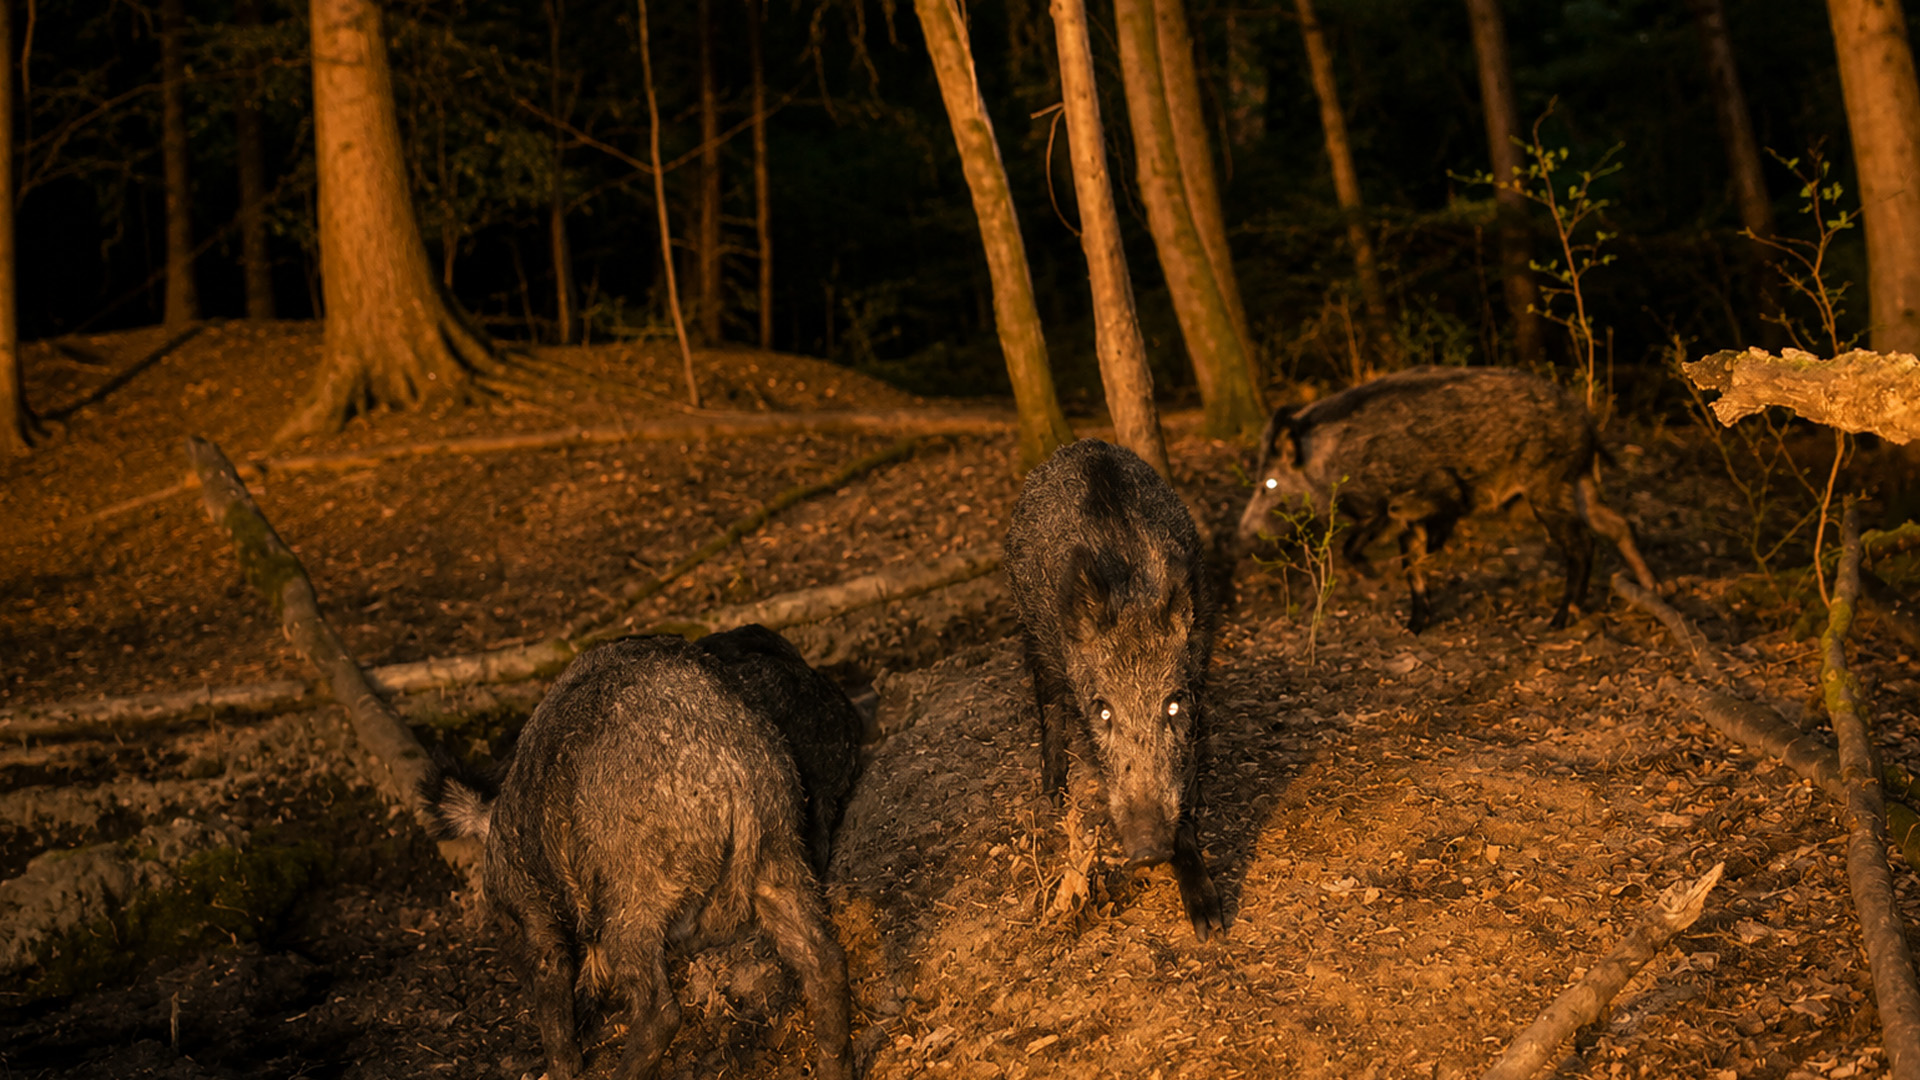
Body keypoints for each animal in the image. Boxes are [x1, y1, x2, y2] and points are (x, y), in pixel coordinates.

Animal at [421, 633, 854, 1080]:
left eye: (501, 918)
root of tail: (733, 774)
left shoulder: (535, 911)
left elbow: (553, 986)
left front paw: (560, 1068)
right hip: (780, 852)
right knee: (824, 960)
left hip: (635, 892)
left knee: (658, 1011)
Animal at [1004, 438, 1224, 941]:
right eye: (1103, 710)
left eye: (1174, 704)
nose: (1147, 851)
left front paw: (1211, 924)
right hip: (1031, 627)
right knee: (1047, 699)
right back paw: (1052, 792)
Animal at [1234, 366, 1656, 633]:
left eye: (1269, 484)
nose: (1242, 537)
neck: (1332, 464)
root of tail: (1587, 421)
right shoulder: (1408, 516)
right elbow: (1412, 565)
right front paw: (1414, 626)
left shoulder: (1414, 500)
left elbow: (1359, 544)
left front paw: (1373, 574)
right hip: (1579, 482)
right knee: (1617, 525)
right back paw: (1653, 589)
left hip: (1547, 487)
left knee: (1582, 544)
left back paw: (1560, 620)